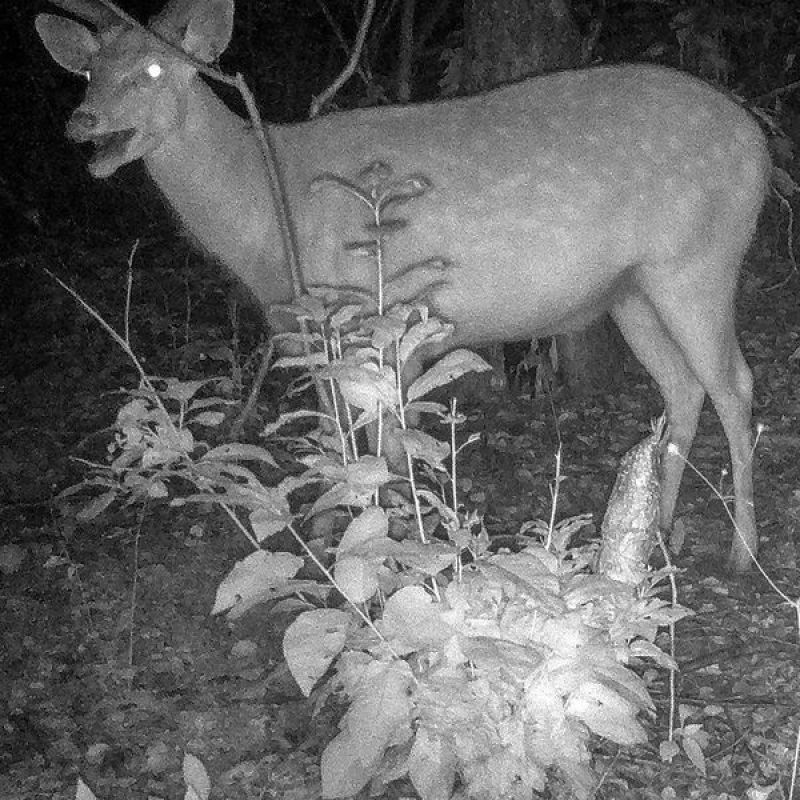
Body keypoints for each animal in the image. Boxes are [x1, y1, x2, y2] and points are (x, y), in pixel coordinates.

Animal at [34, 0, 772, 572]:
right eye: (92, 71)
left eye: (155, 70)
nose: (83, 121)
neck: (267, 226)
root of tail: (761, 143)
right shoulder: (309, 328)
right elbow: (337, 432)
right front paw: (338, 531)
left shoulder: (379, 313)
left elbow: (384, 442)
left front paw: (388, 541)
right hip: (631, 290)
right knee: (683, 385)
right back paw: (660, 532)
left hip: (699, 258)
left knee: (735, 385)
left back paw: (743, 552)